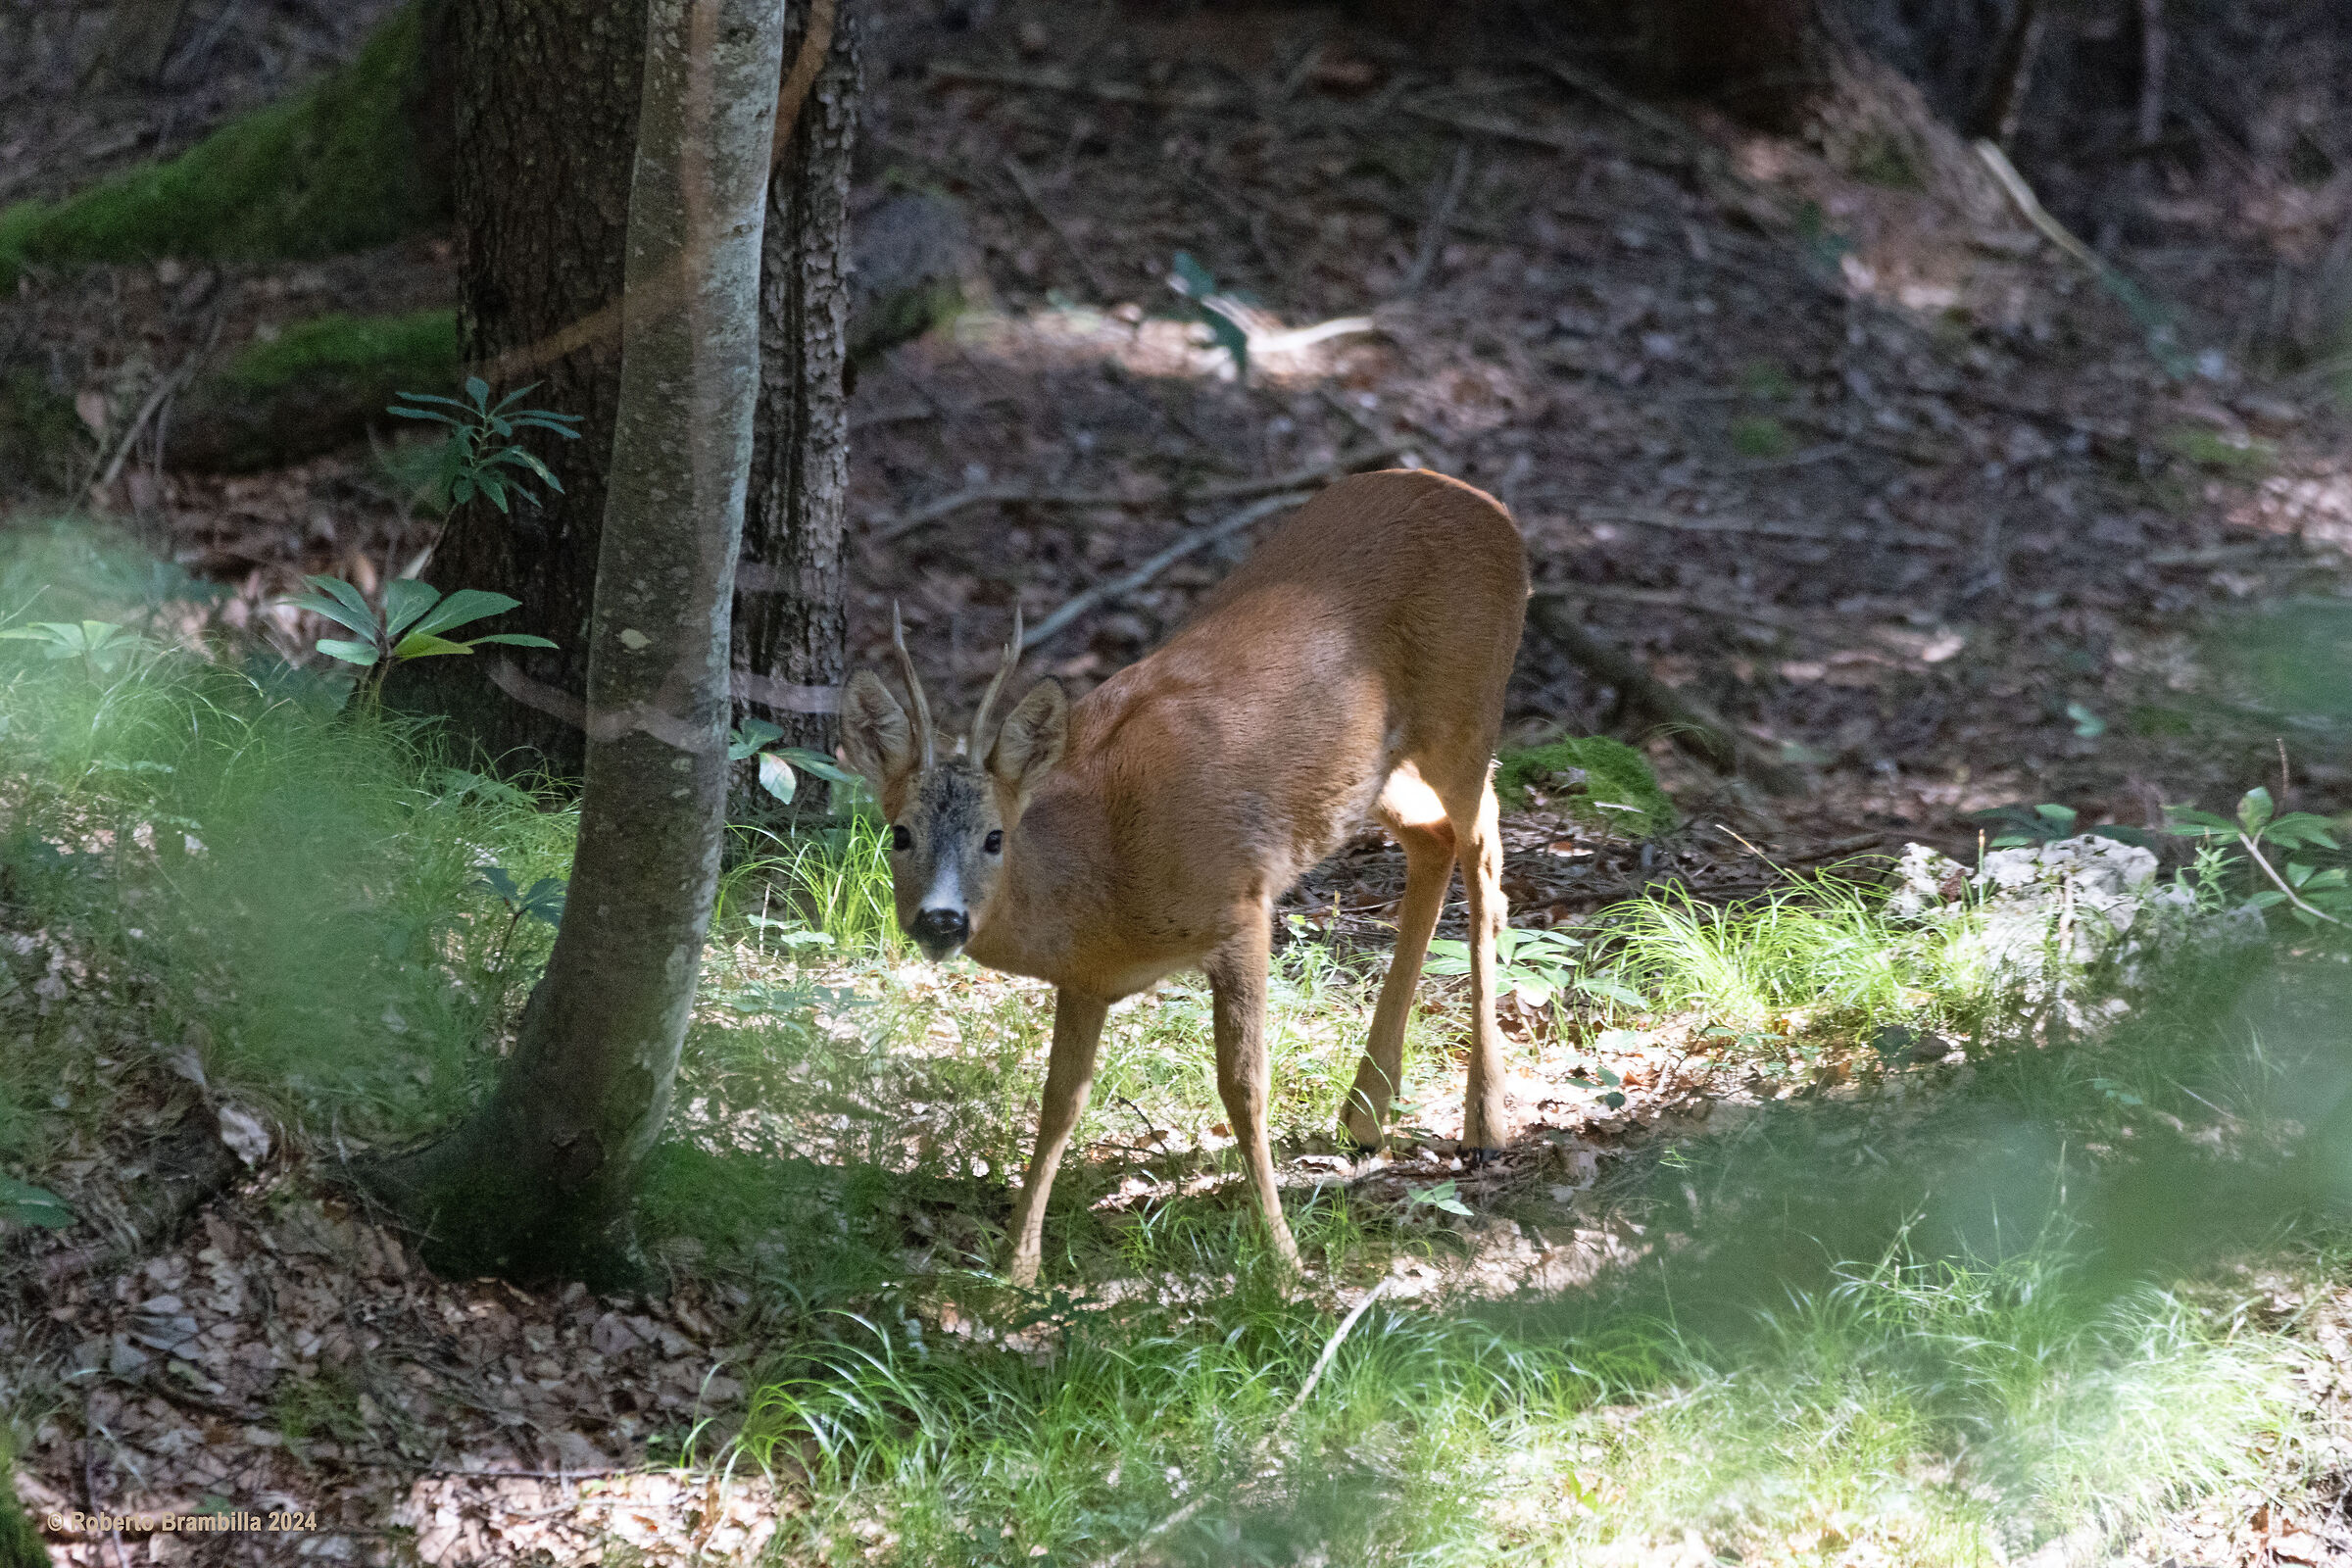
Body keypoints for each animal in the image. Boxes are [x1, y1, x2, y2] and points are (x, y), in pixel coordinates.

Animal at [837, 468, 1529, 1285]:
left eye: (994, 837)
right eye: (900, 832)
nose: (941, 919)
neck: (1104, 870)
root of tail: (1493, 510)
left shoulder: (1241, 905)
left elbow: (1244, 1086)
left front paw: (1284, 1257)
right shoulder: (1088, 981)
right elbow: (1060, 1100)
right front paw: (1017, 1265)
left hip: (1467, 708)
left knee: (1483, 843)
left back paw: (1484, 1125)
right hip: (1372, 773)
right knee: (1434, 838)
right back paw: (1364, 1115)